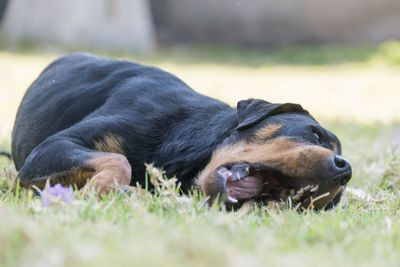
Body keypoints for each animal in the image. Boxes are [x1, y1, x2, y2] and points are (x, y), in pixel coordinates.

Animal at [10, 52, 352, 210]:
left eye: (334, 200)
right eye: (315, 133)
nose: (345, 170)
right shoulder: (53, 147)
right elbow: (118, 161)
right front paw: (104, 189)